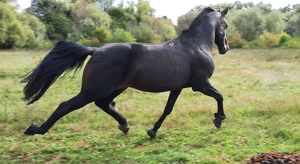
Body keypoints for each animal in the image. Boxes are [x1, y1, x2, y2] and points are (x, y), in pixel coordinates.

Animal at [22, 7, 230, 138]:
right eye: (226, 25)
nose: (225, 48)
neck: (196, 45)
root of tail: (95, 51)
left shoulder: (178, 87)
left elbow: (168, 109)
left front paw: (152, 131)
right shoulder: (200, 84)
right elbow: (219, 96)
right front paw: (219, 119)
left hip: (116, 88)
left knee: (104, 104)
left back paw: (124, 124)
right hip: (93, 90)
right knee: (65, 106)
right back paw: (36, 129)